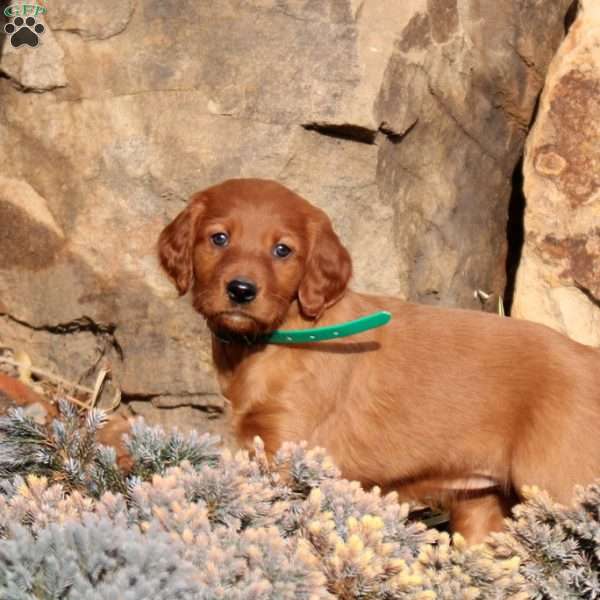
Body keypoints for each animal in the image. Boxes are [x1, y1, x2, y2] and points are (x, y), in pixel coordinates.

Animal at [158, 178, 600, 544]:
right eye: (219, 238)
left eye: (282, 250)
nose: (241, 290)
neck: (279, 336)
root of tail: (587, 354)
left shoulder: (288, 451)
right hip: (485, 505)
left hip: (561, 484)